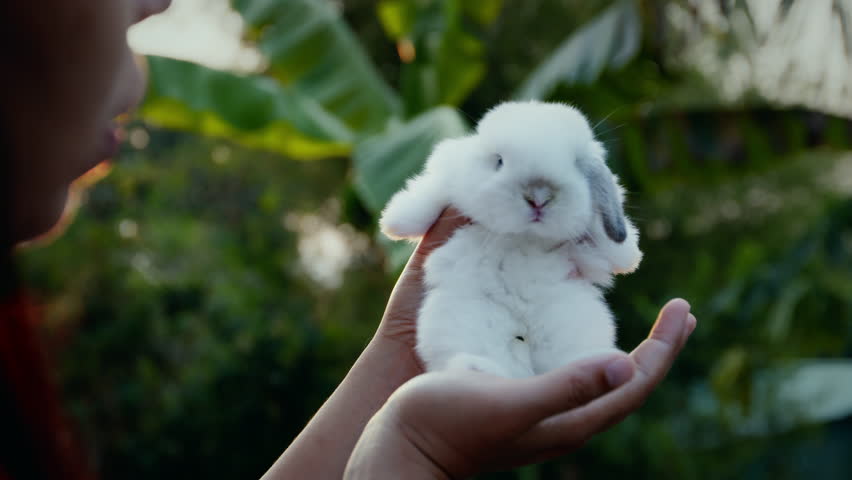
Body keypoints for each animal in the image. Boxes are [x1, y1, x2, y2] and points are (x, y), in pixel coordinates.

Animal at [380, 101, 642, 378]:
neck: (525, 238)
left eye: (576, 165)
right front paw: (394, 223)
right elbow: (431, 196)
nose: (539, 198)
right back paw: (477, 369)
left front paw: (628, 256)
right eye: (499, 161)